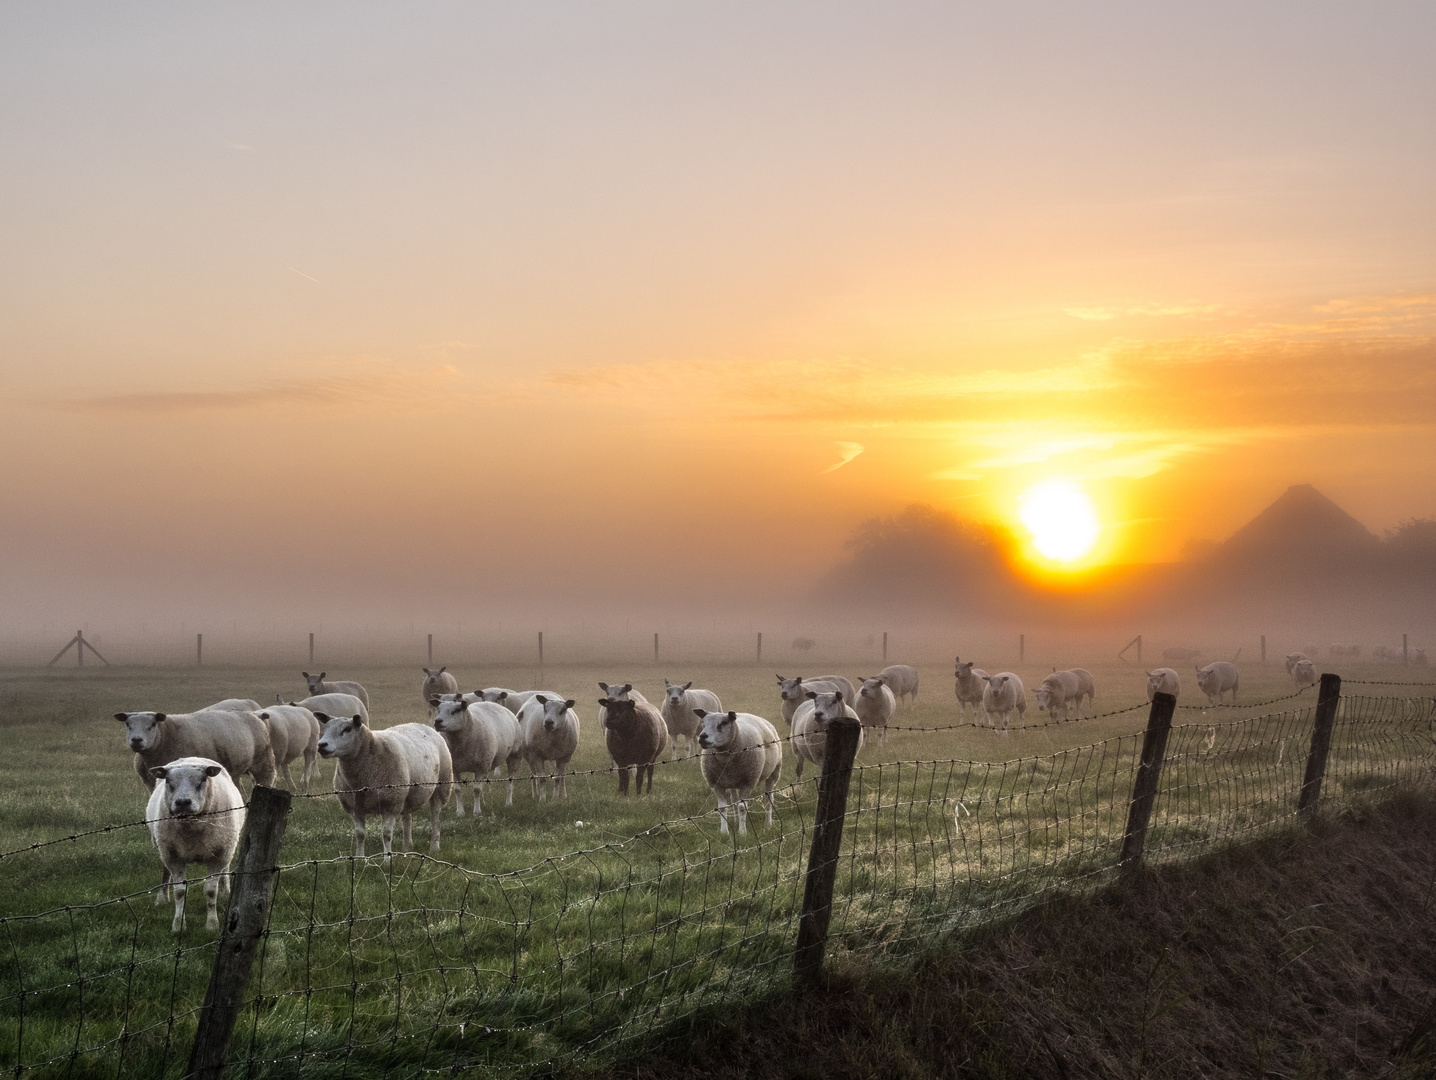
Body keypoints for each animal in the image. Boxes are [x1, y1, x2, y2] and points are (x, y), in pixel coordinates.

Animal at [114, 709, 274, 792]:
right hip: (233, 772)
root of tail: (256, 716)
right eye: (127, 724)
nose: (136, 740)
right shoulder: (150, 783)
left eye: (152, 724)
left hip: (263, 762)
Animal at [144, 752, 245, 930]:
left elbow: (211, 891)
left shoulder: (218, 855)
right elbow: (179, 891)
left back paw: (225, 891)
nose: (183, 802)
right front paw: (178, 924)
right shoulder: (173, 855)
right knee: (165, 870)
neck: (191, 831)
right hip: (162, 846)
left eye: (203, 779)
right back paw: (161, 898)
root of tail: (193, 757)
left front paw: (212, 924)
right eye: (168, 781)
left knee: (225, 868)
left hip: (227, 845)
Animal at [317, 712, 450, 867]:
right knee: (407, 817)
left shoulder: (390, 804)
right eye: (325, 728)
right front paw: (360, 858)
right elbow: (359, 834)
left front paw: (387, 860)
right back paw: (407, 848)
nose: (321, 745)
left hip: (441, 786)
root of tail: (423, 725)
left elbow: (386, 834)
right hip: (405, 794)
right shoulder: (356, 807)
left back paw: (434, 846)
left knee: (435, 817)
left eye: (347, 729)